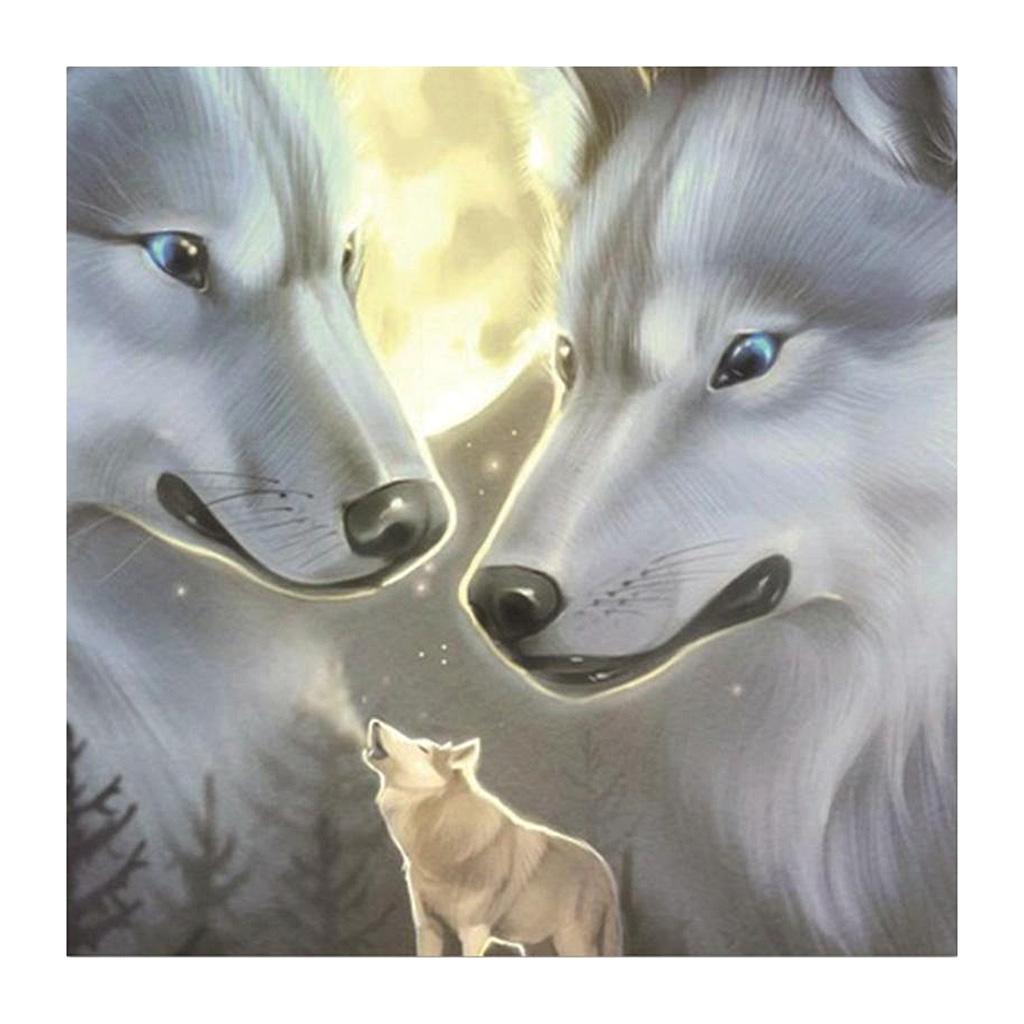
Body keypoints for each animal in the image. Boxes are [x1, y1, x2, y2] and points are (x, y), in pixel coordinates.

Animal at [363, 718, 623, 955]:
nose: (375, 722)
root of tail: (603, 868)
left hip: (571, 943)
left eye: (422, 748)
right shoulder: (428, 928)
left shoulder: (474, 931)